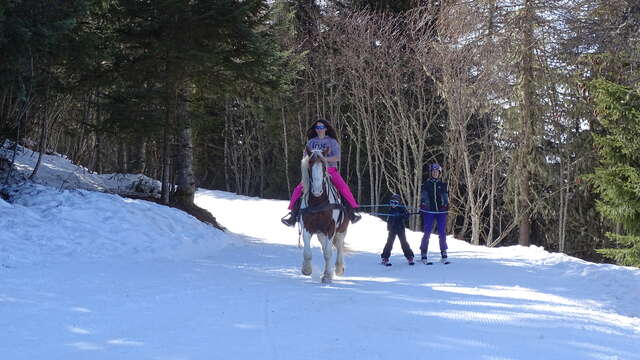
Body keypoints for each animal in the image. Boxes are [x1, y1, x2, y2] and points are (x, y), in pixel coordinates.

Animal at [298, 146, 350, 284]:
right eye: (310, 163)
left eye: (324, 166)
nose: (317, 191)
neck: (318, 202)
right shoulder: (307, 227)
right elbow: (307, 251)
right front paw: (306, 269)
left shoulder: (331, 228)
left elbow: (327, 253)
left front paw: (327, 276)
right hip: (321, 233)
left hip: (341, 229)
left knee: (339, 245)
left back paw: (338, 268)